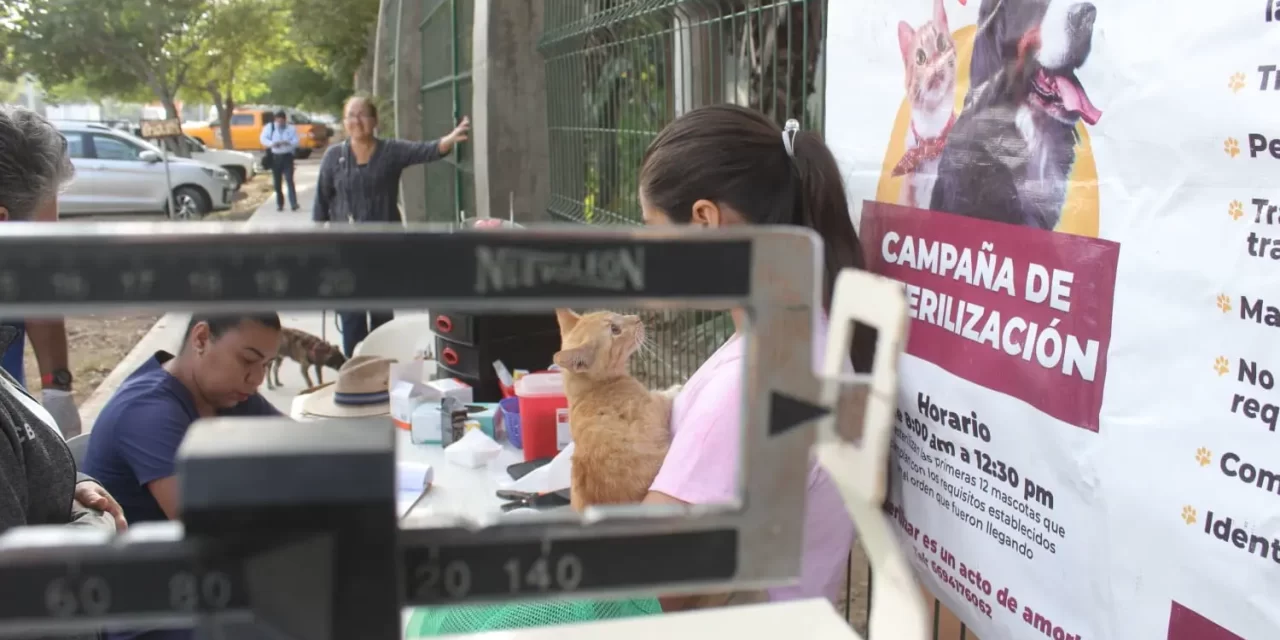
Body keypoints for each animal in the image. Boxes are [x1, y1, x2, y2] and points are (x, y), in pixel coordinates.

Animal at [558, 307, 686, 512]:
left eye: (614, 314)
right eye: (614, 330)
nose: (637, 318)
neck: (590, 390)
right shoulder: (653, 407)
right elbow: (663, 395)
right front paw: (675, 388)